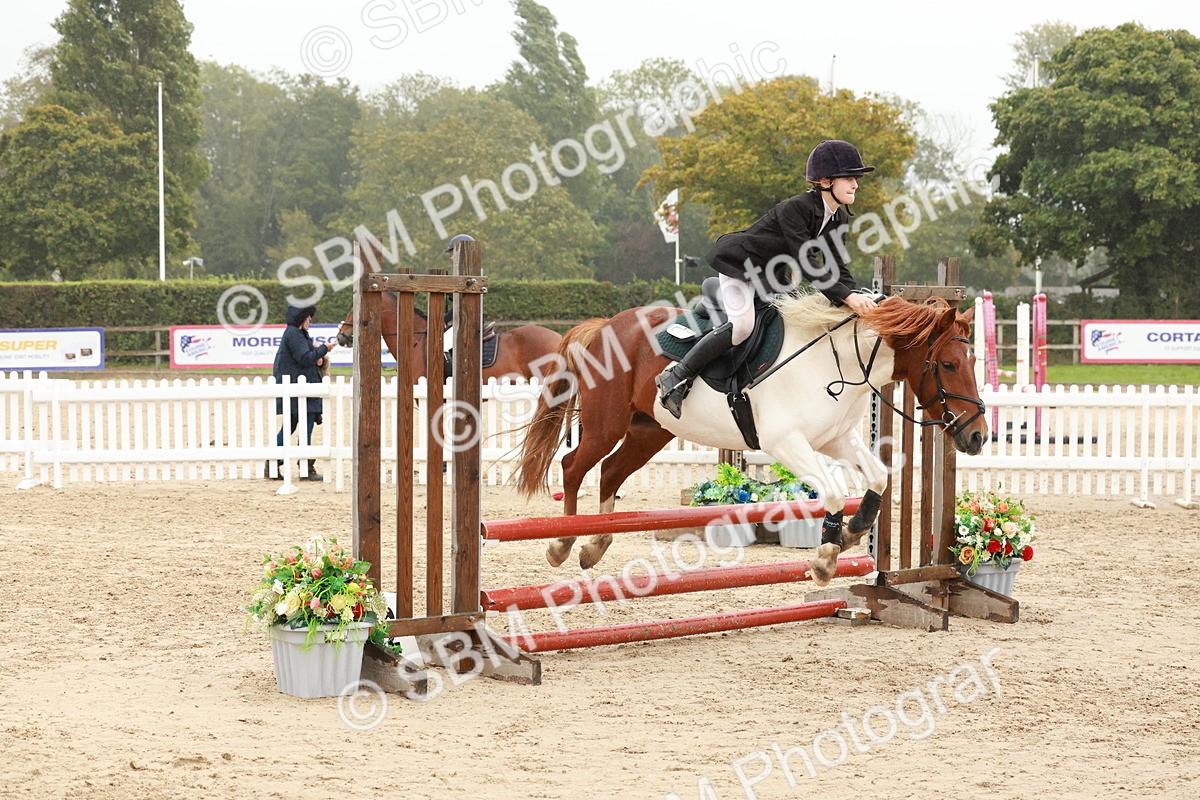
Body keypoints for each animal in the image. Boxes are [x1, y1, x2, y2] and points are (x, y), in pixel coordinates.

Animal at [515, 293, 988, 586]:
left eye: (973, 361)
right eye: (948, 364)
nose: (978, 437)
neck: (841, 362)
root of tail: (605, 326)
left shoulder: (834, 440)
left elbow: (878, 478)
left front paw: (855, 531)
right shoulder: (787, 443)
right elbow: (834, 491)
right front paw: (825, 558)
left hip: (649, 431)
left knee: (612, 472)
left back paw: (595, 546)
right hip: (606, 425)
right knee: (574, 466)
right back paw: (562, 543)